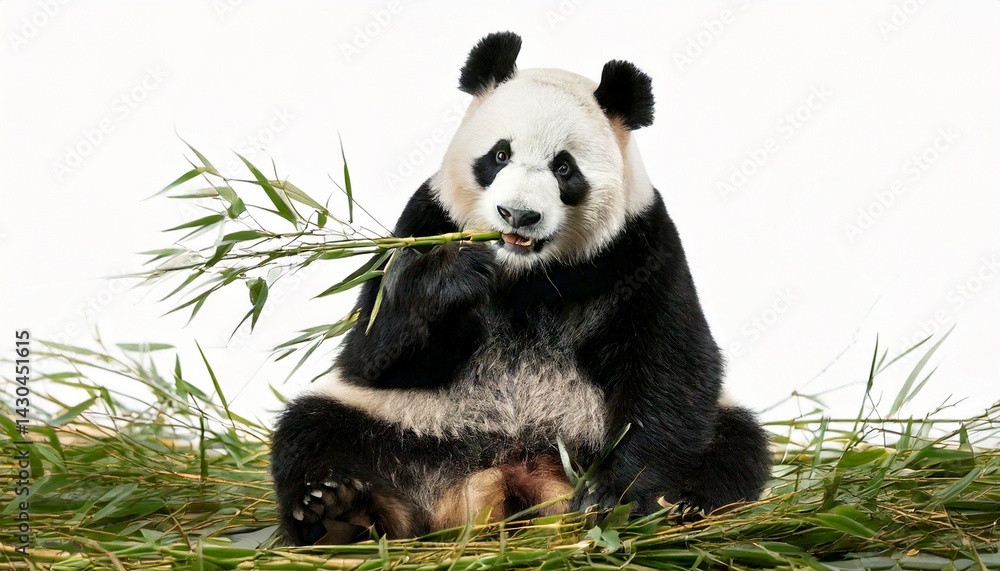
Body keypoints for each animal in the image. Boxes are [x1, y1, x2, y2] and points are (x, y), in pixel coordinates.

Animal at [270, 31, 771, 546]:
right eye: (499, 155)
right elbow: (371, 352)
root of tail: (511, 472)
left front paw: (614, 497)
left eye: (564, 168)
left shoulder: (642, 248)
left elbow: (669, 365)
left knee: (734, 441)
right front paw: (453, 276)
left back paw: (687, 505)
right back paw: (337, 510)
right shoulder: (424, 221)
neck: (525, 274)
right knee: (314, 428)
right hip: (412, 422)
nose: (518, 215)